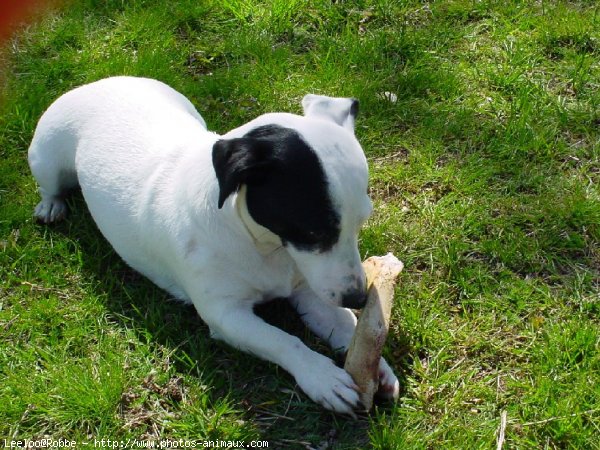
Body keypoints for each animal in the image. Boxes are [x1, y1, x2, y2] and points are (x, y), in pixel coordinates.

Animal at [30, 75, 400, 414]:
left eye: (361, 223)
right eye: (313, 231)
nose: (358, 297)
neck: (262, 244)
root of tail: (97, 82)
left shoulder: (310, 289)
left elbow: (347, 325)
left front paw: (374, 364)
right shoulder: (226, 314)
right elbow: (283, 340)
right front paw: (321, 376)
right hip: (47, 159)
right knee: (50, 185)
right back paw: (51, 205)